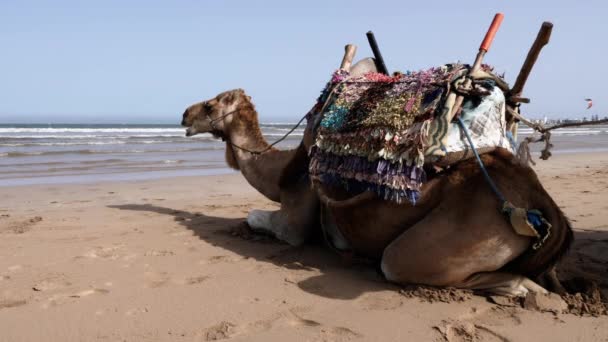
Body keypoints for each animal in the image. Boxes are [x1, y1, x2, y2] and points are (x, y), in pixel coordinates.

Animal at [180, 88, 568, 296]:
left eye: (211, 105)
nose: (184, 114)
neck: (281, 169)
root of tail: (538, 201)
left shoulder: (296, 216)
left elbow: (258, 218)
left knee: (397, 262)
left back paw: (528, 292)